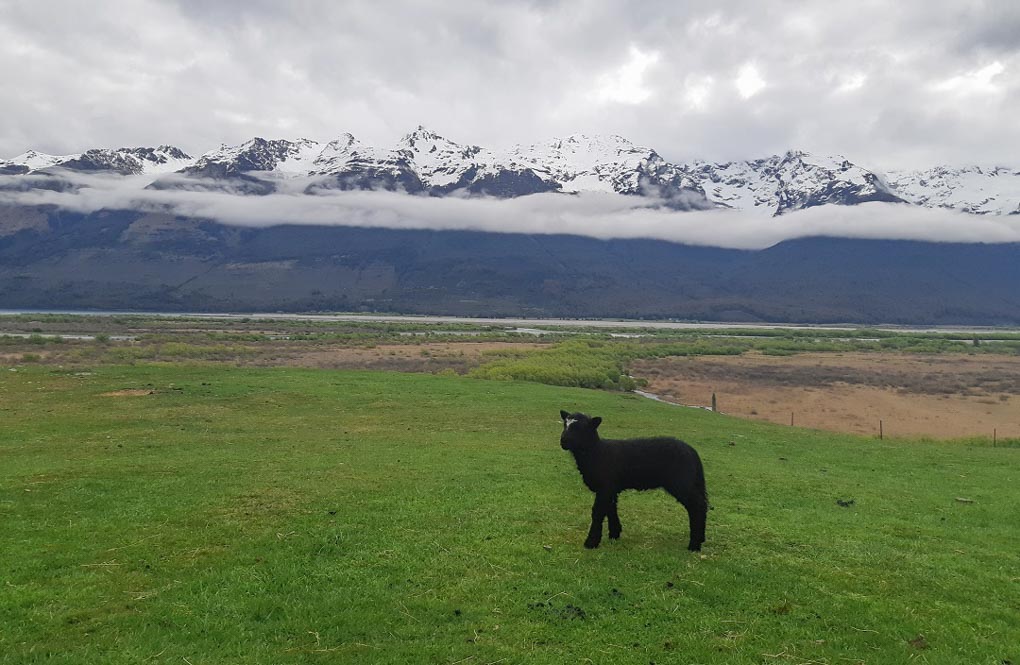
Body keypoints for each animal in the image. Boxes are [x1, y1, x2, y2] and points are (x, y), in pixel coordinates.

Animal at [559, 410, 707, 551]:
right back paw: (700, 539)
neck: (597, 452)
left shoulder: (605, 487)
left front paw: (591, 542)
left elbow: (598, 512)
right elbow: (611, 509)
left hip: (682, 483)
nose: (563, 441)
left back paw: (694, 545)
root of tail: (692, 451)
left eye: (582, 428)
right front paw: (615, 534)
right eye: (565, 424)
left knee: (697, 506)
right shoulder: (611, 488)